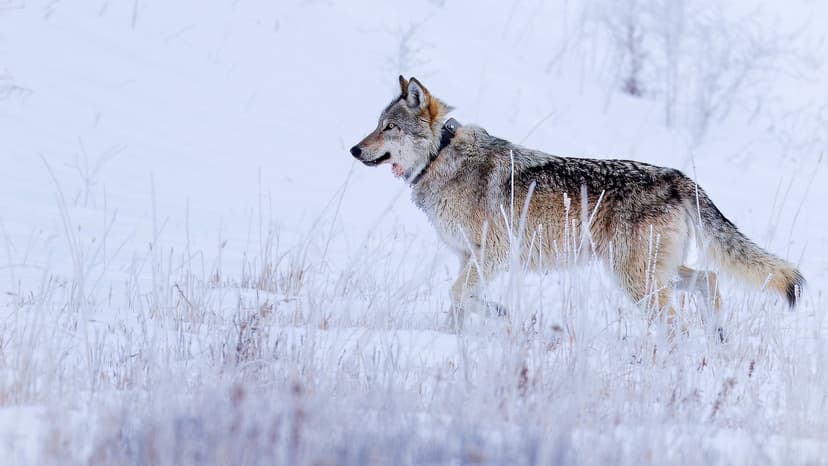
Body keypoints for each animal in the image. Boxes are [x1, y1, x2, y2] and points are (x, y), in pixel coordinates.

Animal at [350, 76, 804, 332]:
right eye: (376, 125)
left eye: (388, 128)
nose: (354, 150)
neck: (441, 157)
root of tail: (679, 177)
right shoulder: (468, 258)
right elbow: (458, 302)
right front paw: (453, 339)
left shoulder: (491, 255)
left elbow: (459, 294)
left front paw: (498, 314)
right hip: (650, 272)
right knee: (709, 281)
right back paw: (718, 340)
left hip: (634, 279)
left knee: (676, 320)